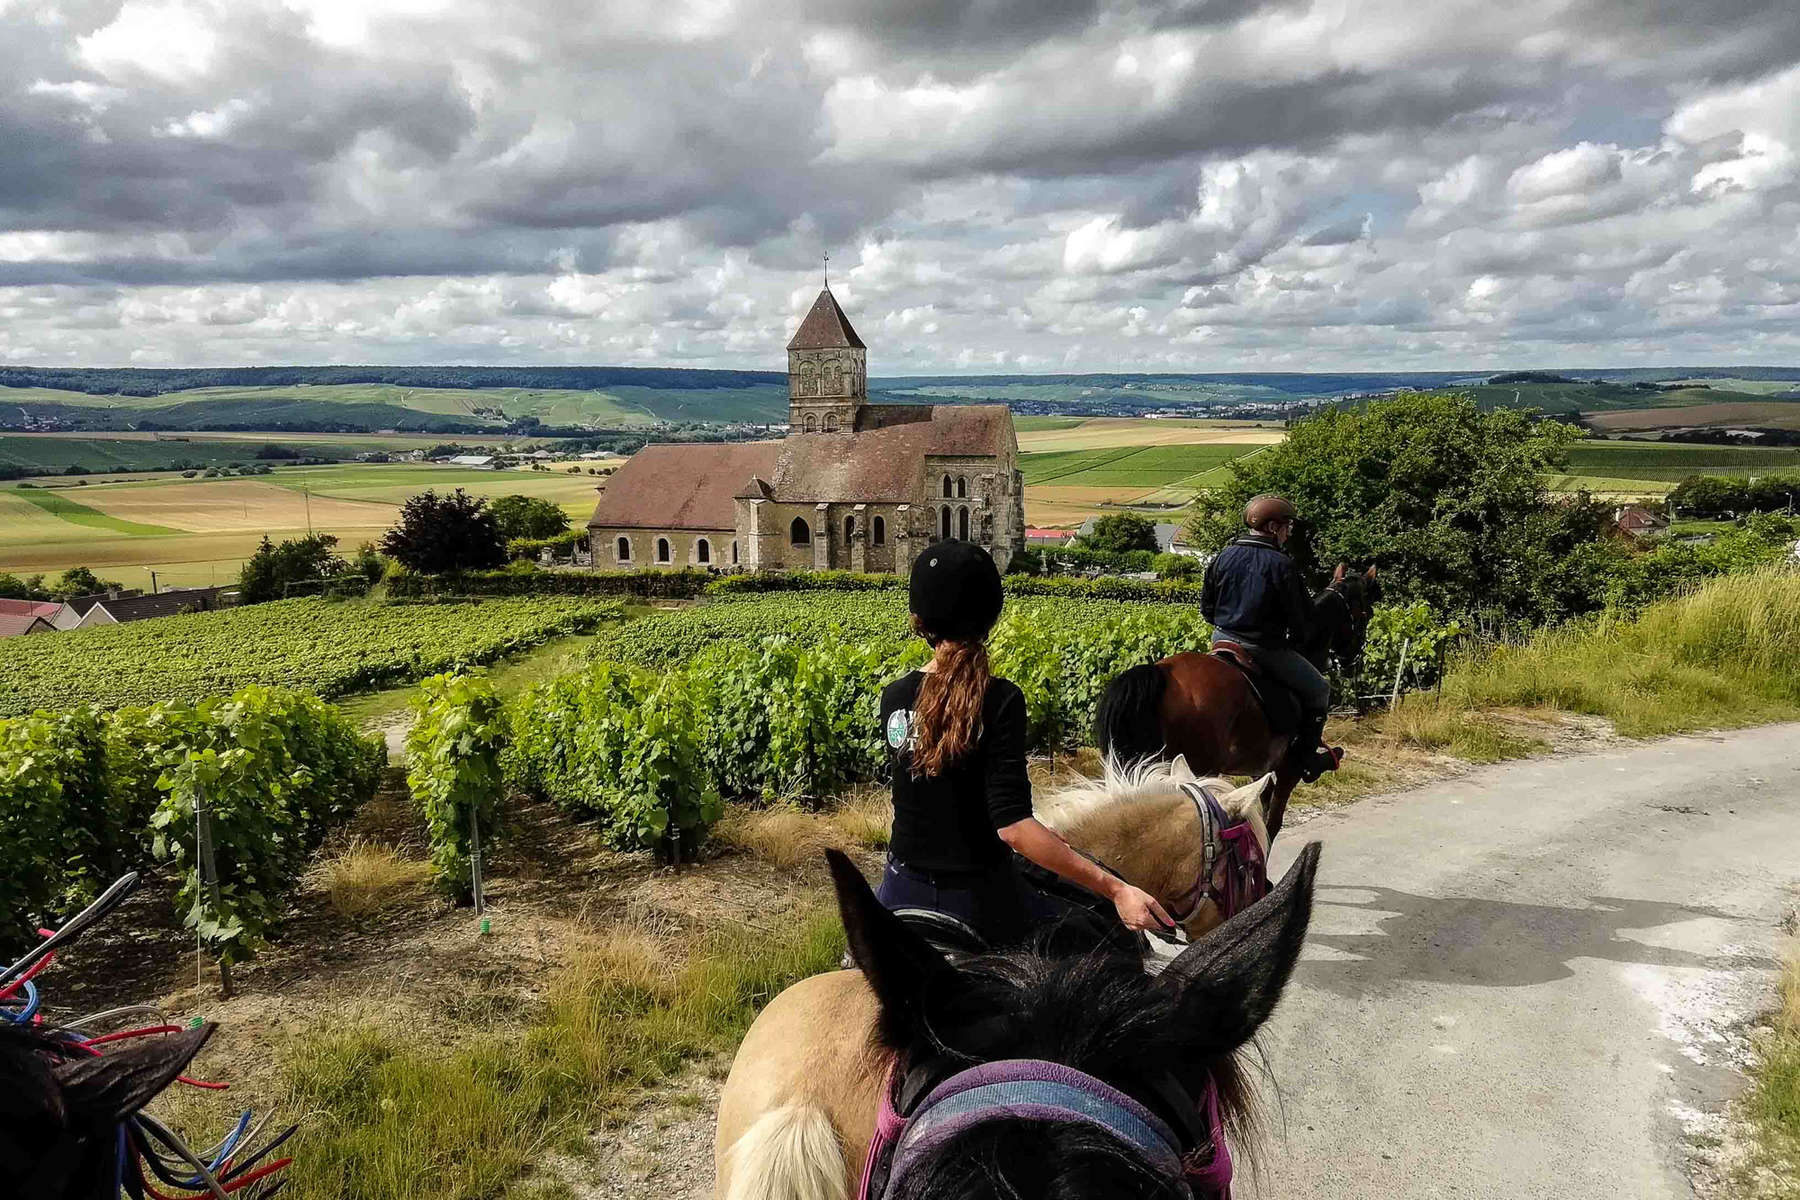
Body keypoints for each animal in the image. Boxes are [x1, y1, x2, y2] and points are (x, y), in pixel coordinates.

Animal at [1080, 564, 1375, 841]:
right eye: (1366, 613)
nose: (1353, 658)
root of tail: (1161, 672)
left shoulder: (1261, 771)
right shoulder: (1287, 770)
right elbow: (1271, 826)